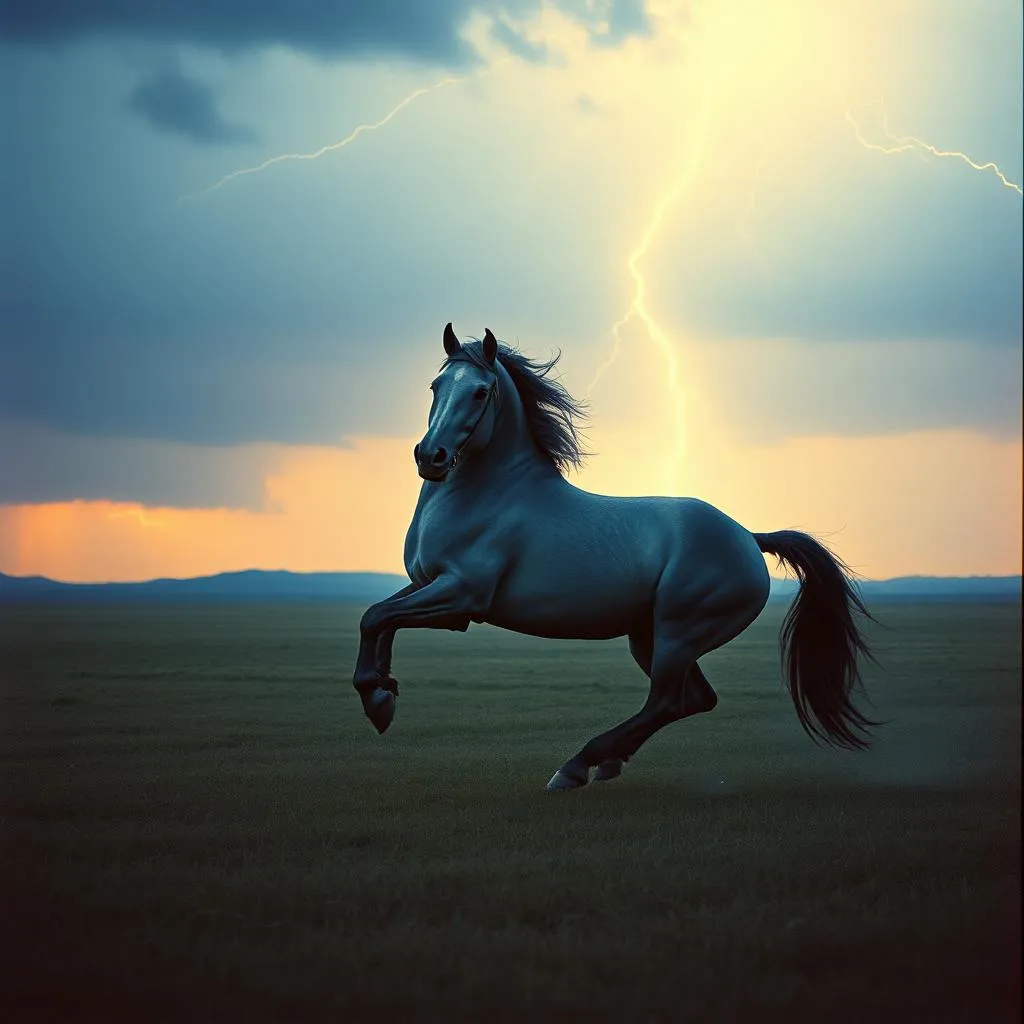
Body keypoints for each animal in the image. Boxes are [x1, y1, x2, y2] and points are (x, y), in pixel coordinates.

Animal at [353, 324, 876, 791]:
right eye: (436, 385)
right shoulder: (429, 587)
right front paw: (382, 692)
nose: (431, 457)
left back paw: (576, 767)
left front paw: (377, 697)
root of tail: (748, 537)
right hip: (649, 636)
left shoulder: (461, 597)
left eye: (481, 392)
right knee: (694, 699)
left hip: (680, 633)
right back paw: (606, 762)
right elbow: (379, 618)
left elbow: (376, 617)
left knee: (666, 701)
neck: (491, 494)